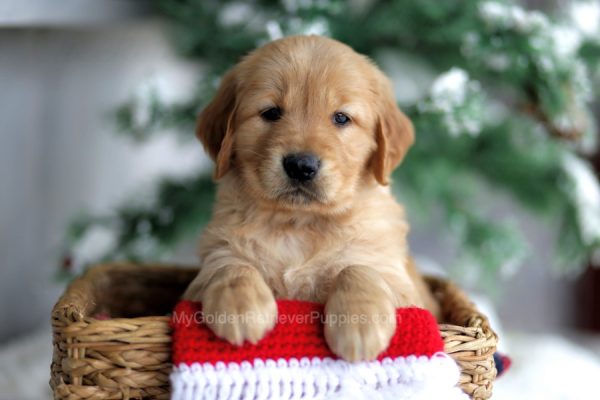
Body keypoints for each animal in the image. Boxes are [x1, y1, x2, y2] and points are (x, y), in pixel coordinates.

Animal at [182, 35, 436, 362]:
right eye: (271, 112)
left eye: (341, 118)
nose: (301, 166)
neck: (299, 223)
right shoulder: (210, 263)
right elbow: (231, 265)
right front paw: (241, 308)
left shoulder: (401, 285)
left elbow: (358, 268)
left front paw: (359, 324)